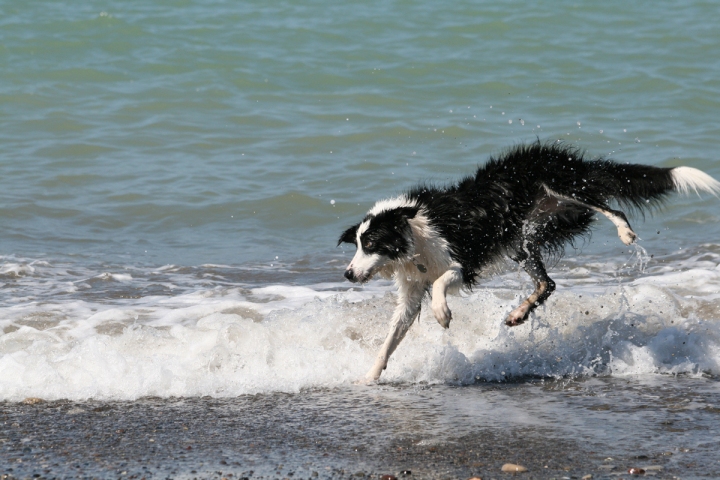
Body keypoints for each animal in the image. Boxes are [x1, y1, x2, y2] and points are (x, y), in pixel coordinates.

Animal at [338, 141, 720, 380]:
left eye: (370, 244)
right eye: (356, 244)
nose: (348, 274)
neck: (412, 233)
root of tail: (563, 157)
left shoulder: (463, 261)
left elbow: (442, 281)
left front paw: (442, 313)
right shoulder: (411, 290)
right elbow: (390, 338)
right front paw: (369, 378)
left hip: (562, 187)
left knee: (611, 207)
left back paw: (625, 231)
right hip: (528, 238)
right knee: (547, 283)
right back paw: (519, 313)